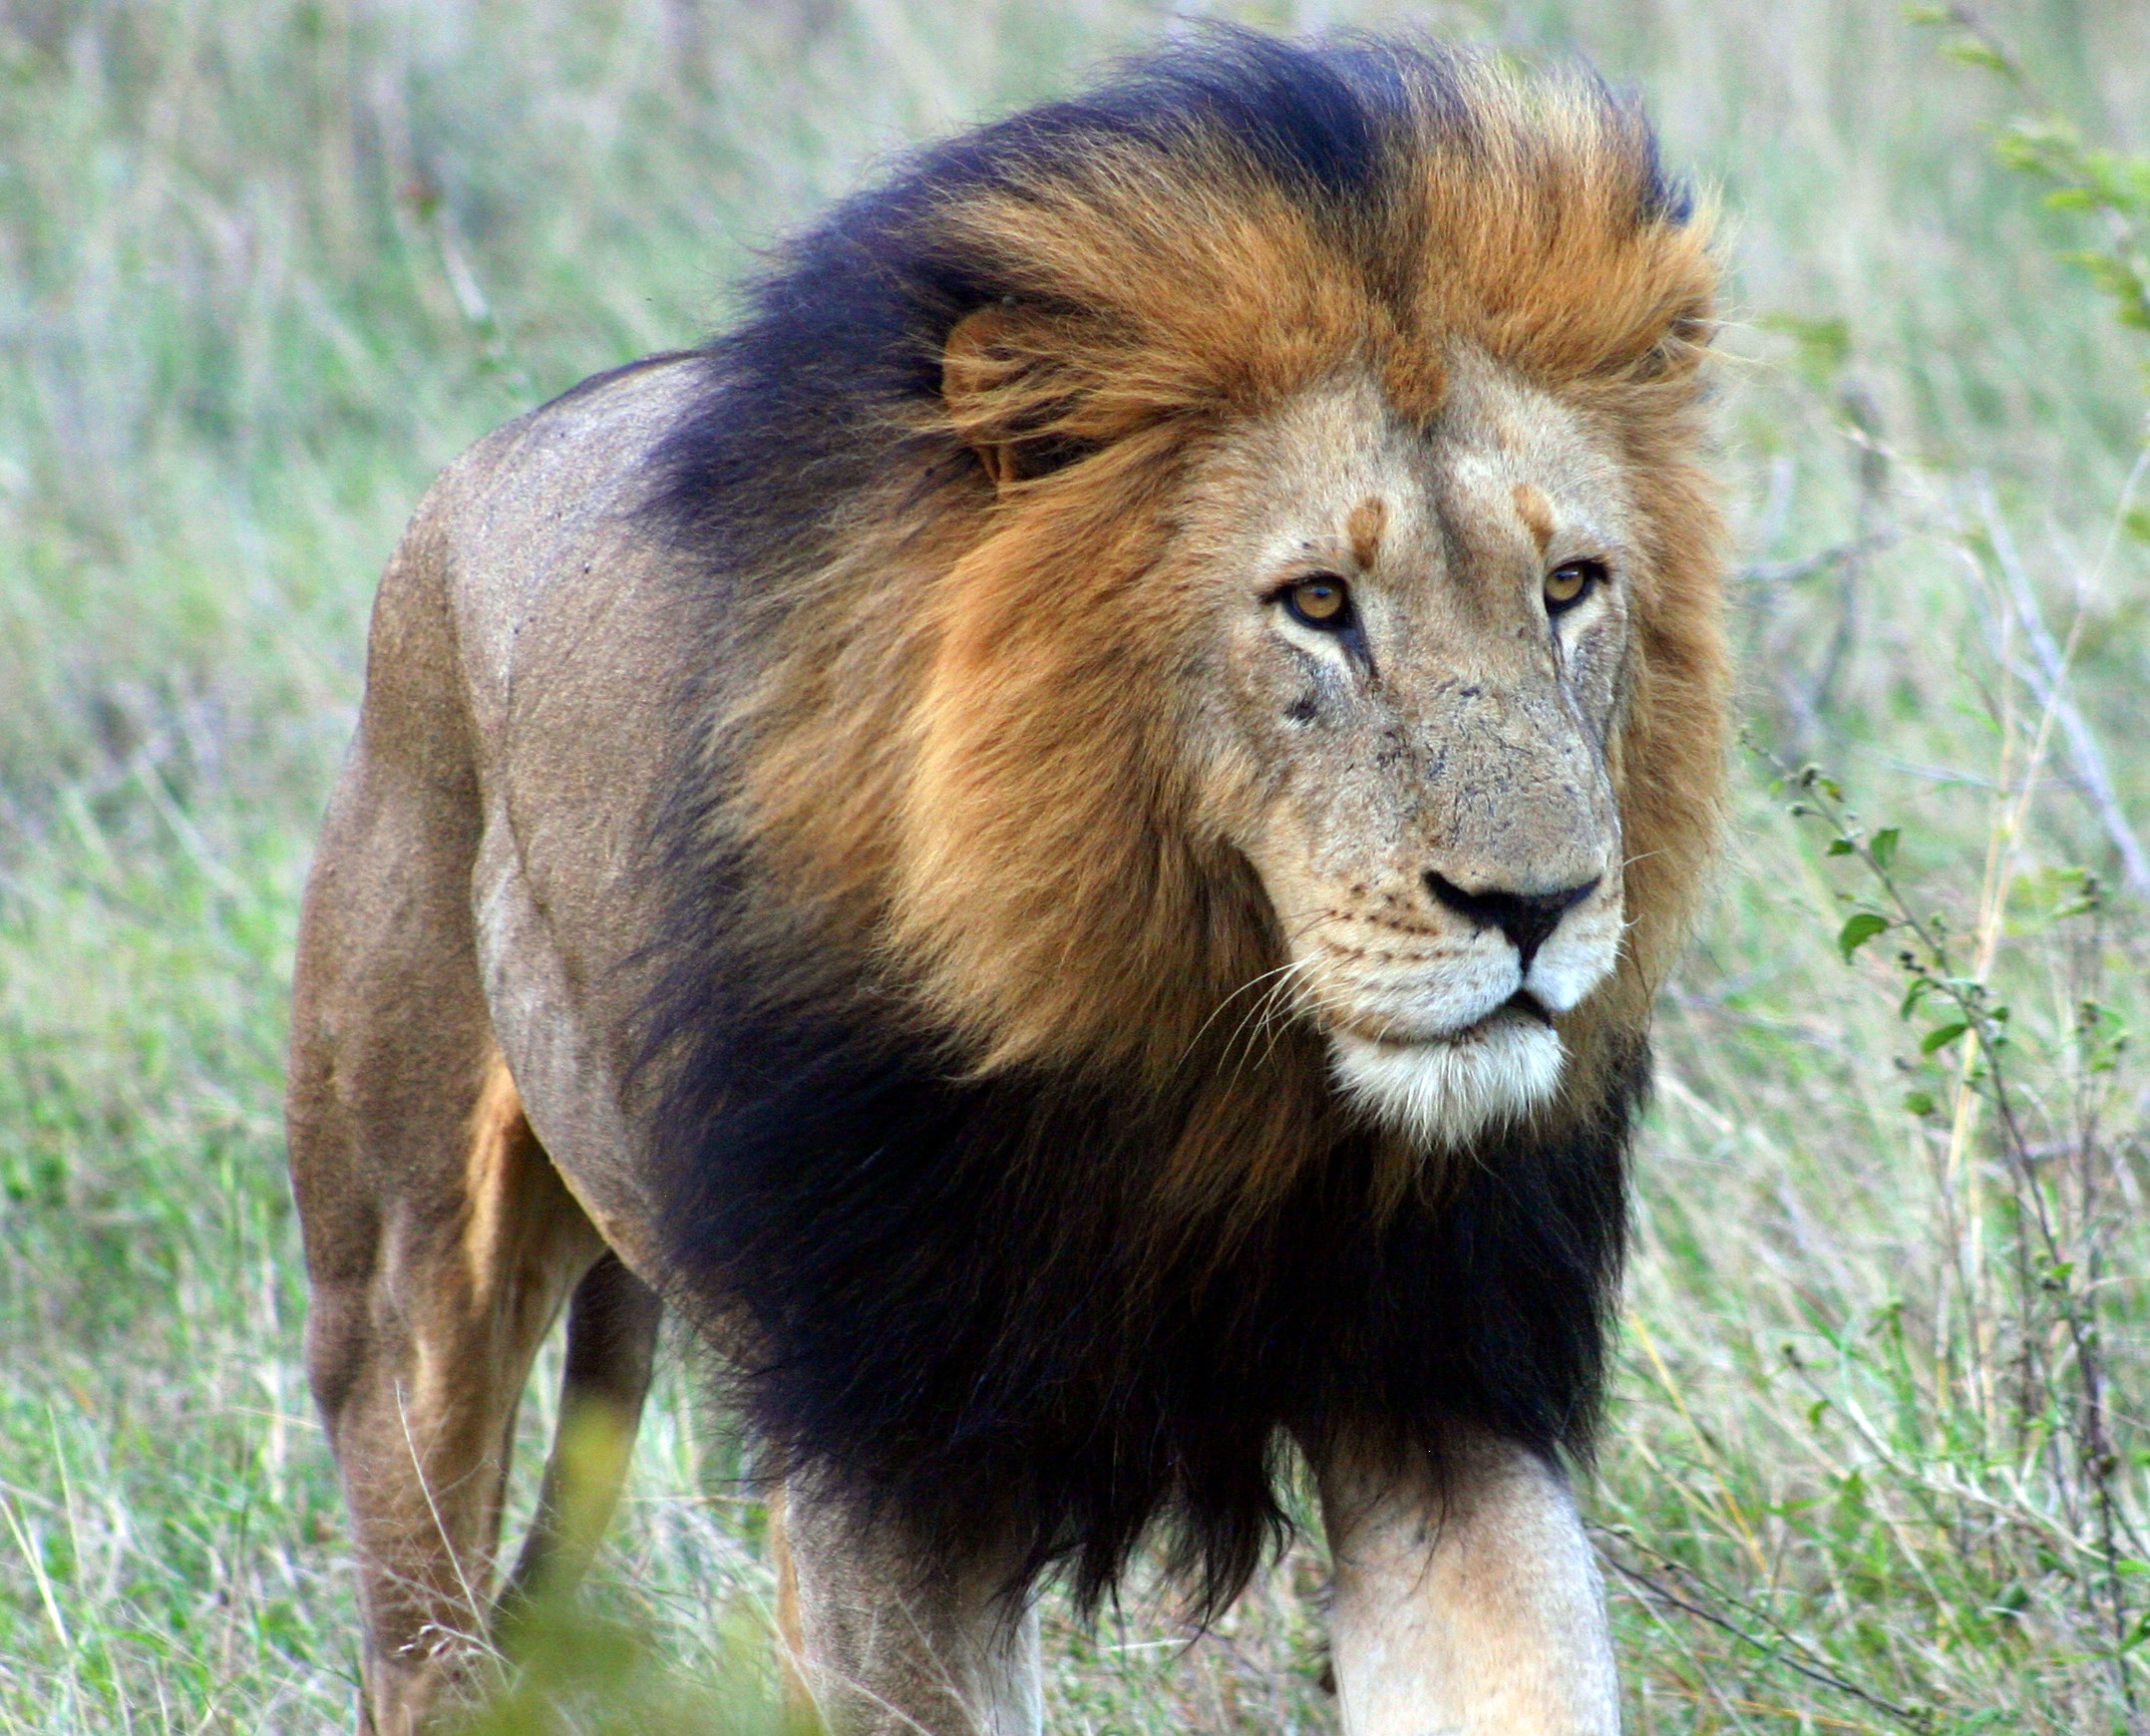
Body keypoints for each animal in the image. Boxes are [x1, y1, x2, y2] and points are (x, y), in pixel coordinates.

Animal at [287, 30, 1726, 1736]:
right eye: (1316, 604)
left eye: (1568, 585)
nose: (1537, 908)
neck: (1204, 1049)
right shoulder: (897, 1461)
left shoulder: (1441, 1386)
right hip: (402, 1290)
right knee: (420, 1621)